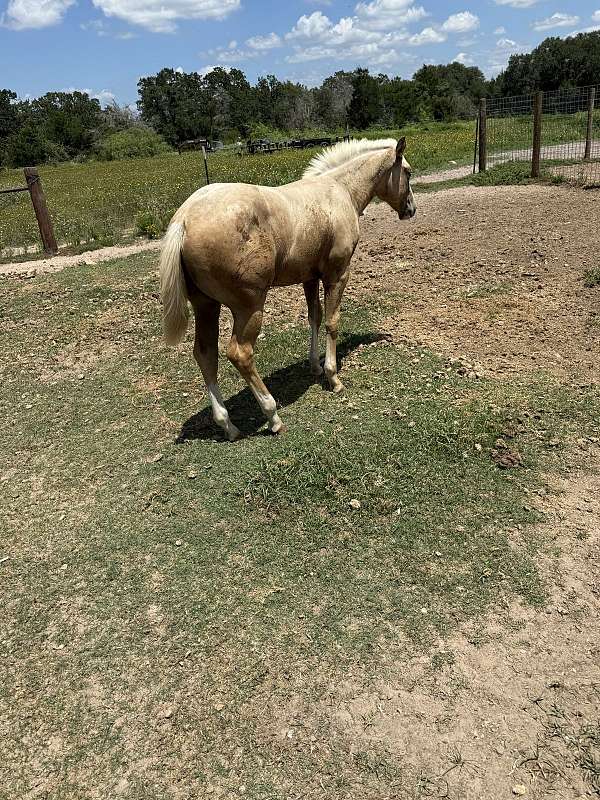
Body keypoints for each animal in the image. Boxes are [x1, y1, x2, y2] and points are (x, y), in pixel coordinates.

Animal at [159, 136, 416, 441]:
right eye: (408, 172)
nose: (411, 210)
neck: (339, 191)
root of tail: (184, 219)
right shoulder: (337, 274)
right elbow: (332, 322)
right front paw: (333, 376)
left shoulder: (310, 277)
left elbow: (314, 317)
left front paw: (315, 366)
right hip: (249, 306)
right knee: (240, 353)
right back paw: (273, 416)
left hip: (206, 305)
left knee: (205, 354)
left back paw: (227, 425)